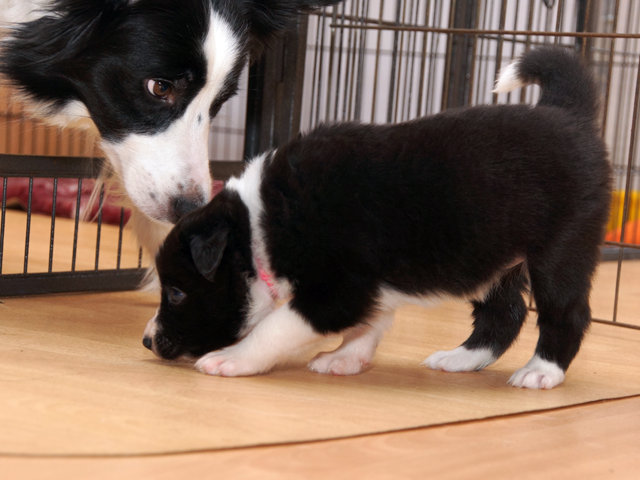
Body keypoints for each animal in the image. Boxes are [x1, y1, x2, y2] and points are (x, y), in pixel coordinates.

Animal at [142, 47, 612, 389]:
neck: (261, 226)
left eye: (178, 293)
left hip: (561, 249)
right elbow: (370, 321)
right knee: (506, 312)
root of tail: (565, 114)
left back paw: (542, 371)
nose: (147, 341)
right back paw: (461, 358)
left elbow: (276, 327)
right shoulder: (368, 286)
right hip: (494, 260)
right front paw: (346, 358)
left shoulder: (336, 290)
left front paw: (232, 359)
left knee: (567, 312)